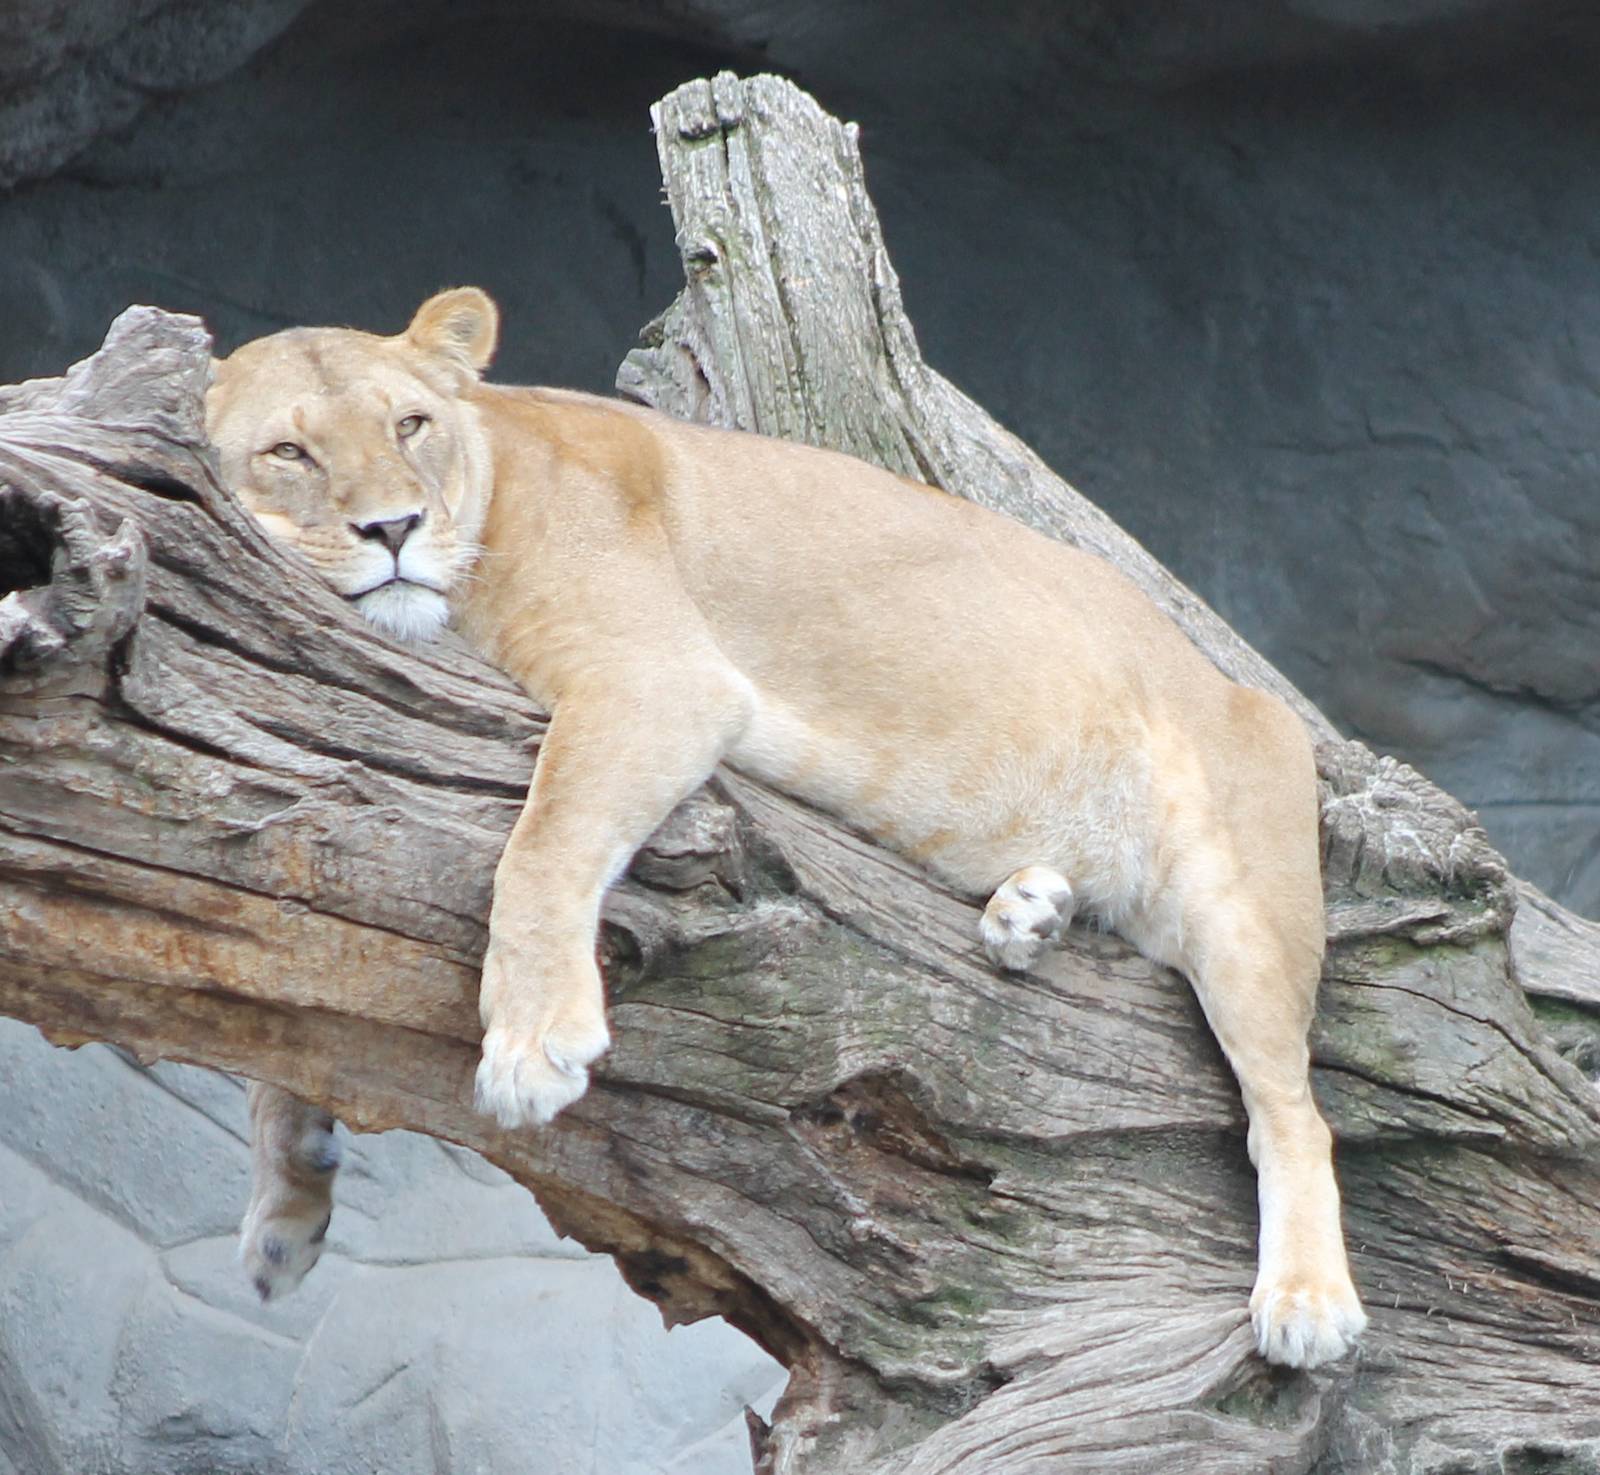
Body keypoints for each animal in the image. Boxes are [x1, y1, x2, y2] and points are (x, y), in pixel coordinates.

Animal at [206, 287, 1367, 1369]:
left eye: (410, 426)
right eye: (289, 451)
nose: (393, 530)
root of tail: (1245, 691)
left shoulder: (657, 679)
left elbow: (539, 847)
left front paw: (530, 1046)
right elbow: (294, 984)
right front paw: (284, 1204)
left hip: (1240, 904)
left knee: (1294, 1111)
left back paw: (1307, 1302)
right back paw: (1026, 913)